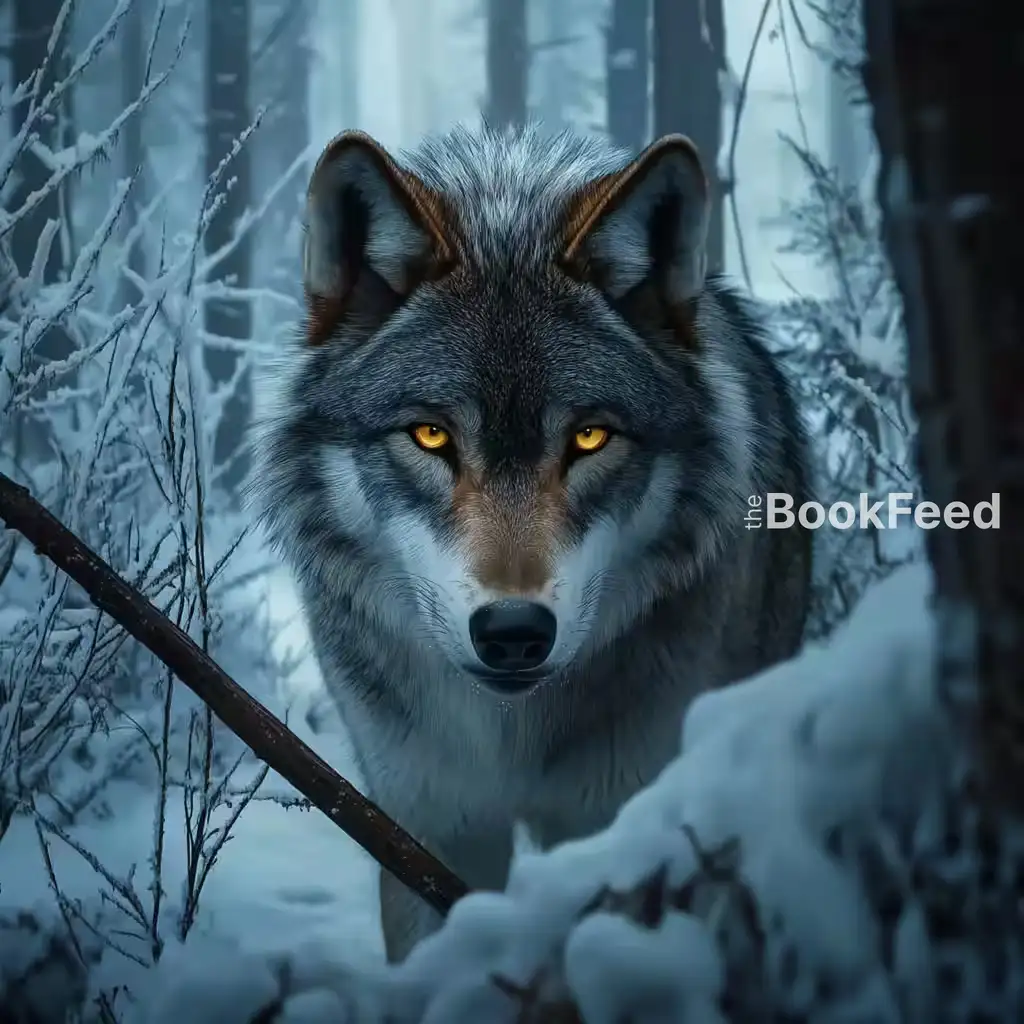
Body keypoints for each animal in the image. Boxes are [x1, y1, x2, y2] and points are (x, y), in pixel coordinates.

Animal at [250, 124, 813, 963]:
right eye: (430, 435)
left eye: (589, 438)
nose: (513, 632)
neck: (507, 735)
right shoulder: (427, 826)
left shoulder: (625, 823)